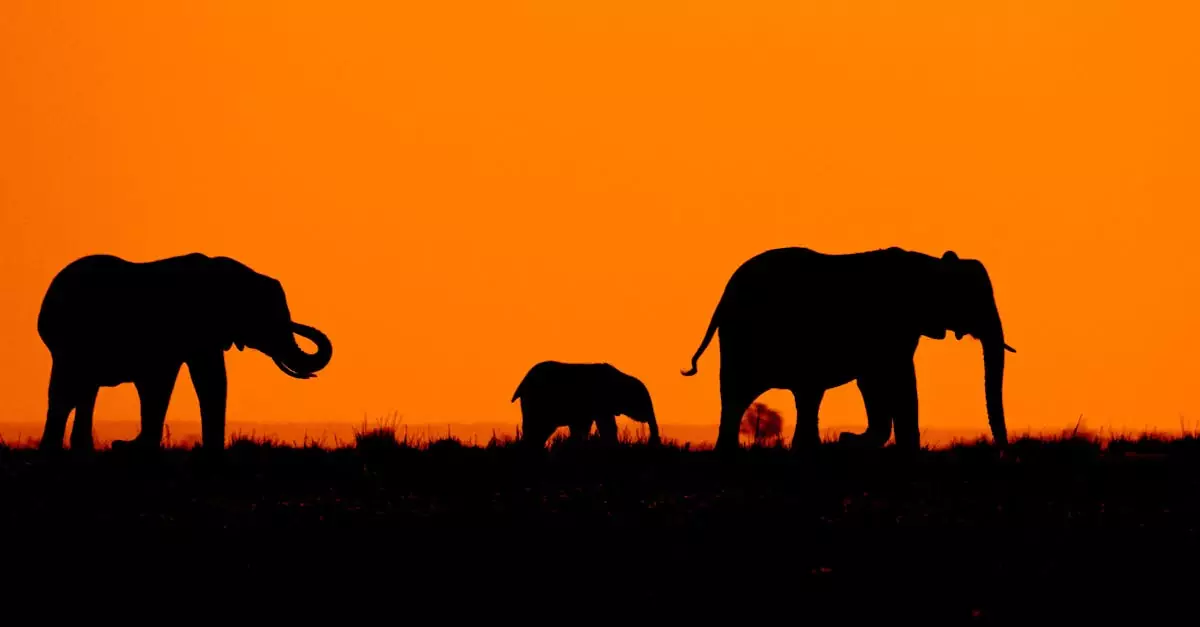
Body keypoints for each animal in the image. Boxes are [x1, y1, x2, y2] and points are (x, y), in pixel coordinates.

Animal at [36, 253, 332, 452]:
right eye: (267, 316)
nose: (297, 324)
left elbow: (206, 378)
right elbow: (170, 382)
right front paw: (135, 447)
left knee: (83, 390)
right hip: (67, 341)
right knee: (66, 391)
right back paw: (55, 450)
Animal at [511, 361, 661, 447]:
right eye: (640, 401)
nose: (653, 442)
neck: (621, 377)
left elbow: (583, 425)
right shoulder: (600, 399)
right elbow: (606, 425)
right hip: (537, 401)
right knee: (537, 427)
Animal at [680, 246, 1015, 453]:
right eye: (973, 299)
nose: (1002, 452)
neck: (932, 264)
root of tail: (723, 297)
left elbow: (873, 382)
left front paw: (847, 440)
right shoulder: (892, 324)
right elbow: (899, 379)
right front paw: (856, 442)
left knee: (798, 396)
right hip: (743, 337)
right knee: (743, 394)